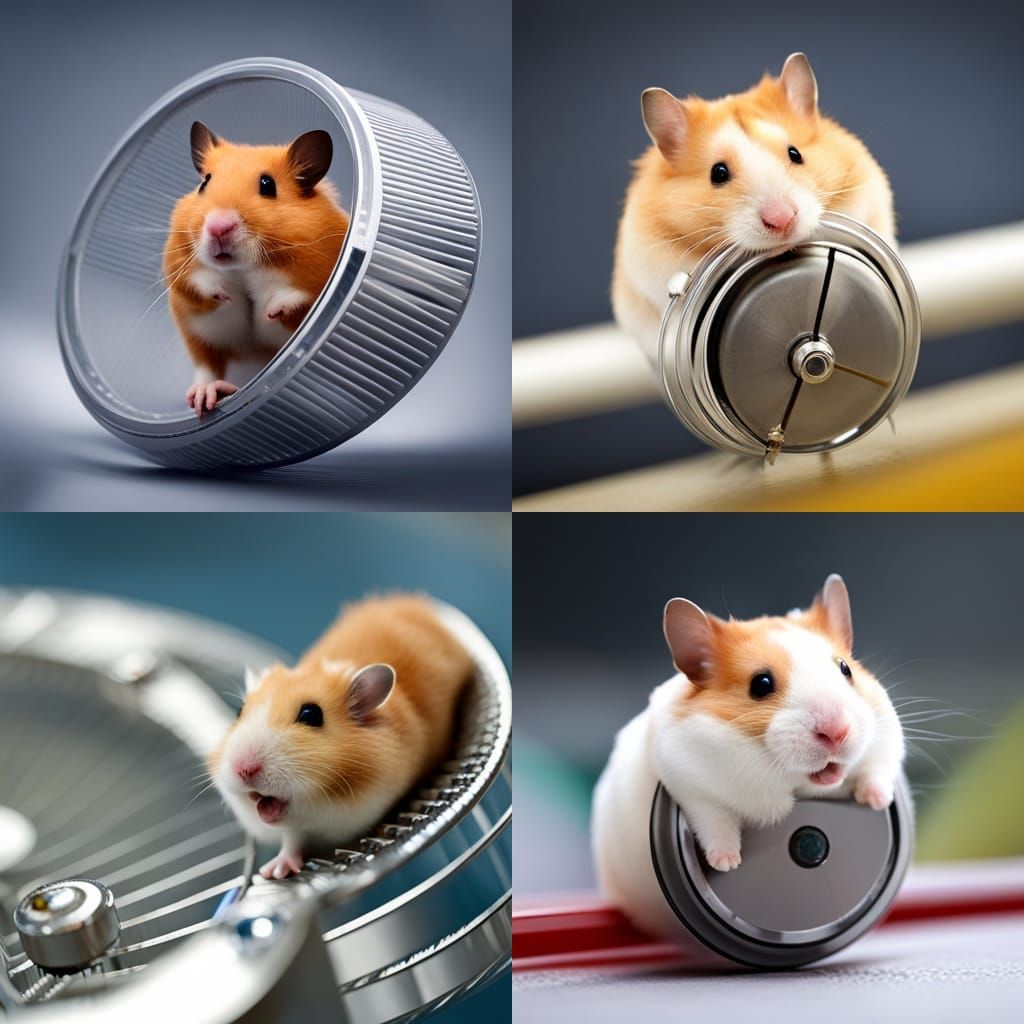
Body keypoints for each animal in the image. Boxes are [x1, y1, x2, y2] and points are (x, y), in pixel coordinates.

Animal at [164, 122, 350, 417]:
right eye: (204, 183)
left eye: (268, 185)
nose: (218, 227)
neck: (244, 268)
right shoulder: (178, 267)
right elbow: (198, 284)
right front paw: (225, 296)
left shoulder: (326, 269)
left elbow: (301, 296)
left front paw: (269, 312)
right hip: (199, 334)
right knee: (207, 365)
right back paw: (206, 397)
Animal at [209, 594, 473, 880]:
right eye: (239, 712)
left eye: (311, 715)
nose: (243, 770)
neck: (324, 801)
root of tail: (407, 599)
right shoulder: (295, 828)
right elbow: (292, 840)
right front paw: (274, 872)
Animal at [591, 574, 904, 941]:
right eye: (761, 684)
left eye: (845, 669)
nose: (837, 732)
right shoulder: (690, 784)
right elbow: (715, 821)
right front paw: (726, 863)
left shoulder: (886, 742)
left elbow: (875, 771)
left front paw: (878, 801)